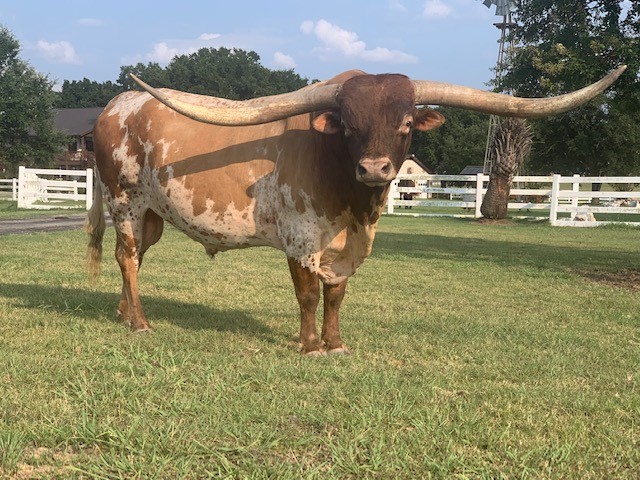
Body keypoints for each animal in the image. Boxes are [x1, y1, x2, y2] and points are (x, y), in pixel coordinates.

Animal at [86, 66, 626, 355]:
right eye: (347, 125)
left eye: (405, 122)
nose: (374, 167)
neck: (355, 205)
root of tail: (115, 107)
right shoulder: (300, 238)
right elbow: (308, 294)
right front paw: (309, 346)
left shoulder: (346, 246)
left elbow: (337, 294)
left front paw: (336, 342)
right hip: (125, 202)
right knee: (127, 257)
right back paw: (139, 323)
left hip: (152, 214)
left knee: (133, 260)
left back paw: (123, 313)